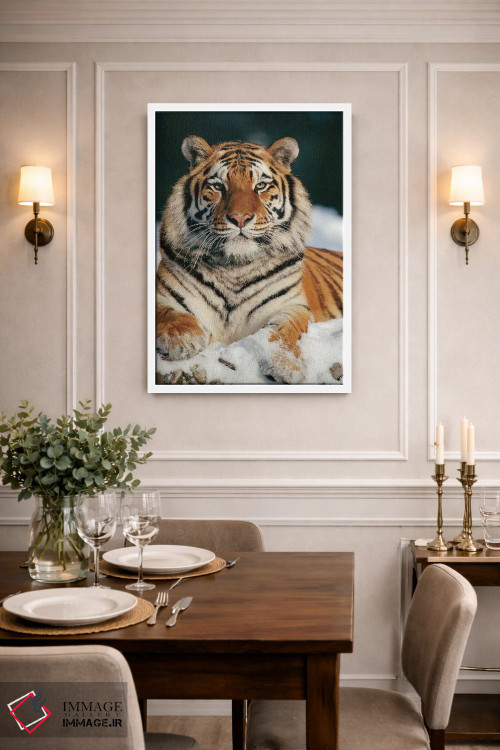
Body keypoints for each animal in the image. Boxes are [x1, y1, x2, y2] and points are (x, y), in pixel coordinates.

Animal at [156, 135, 343, 384]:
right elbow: (167, 312)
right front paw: (182, 339)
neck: (235, 265)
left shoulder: (292, 306)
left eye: (260, 186)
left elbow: (285, 332)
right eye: (218, 186)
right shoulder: (163, 293)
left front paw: (286, 366)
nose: (240, 218)